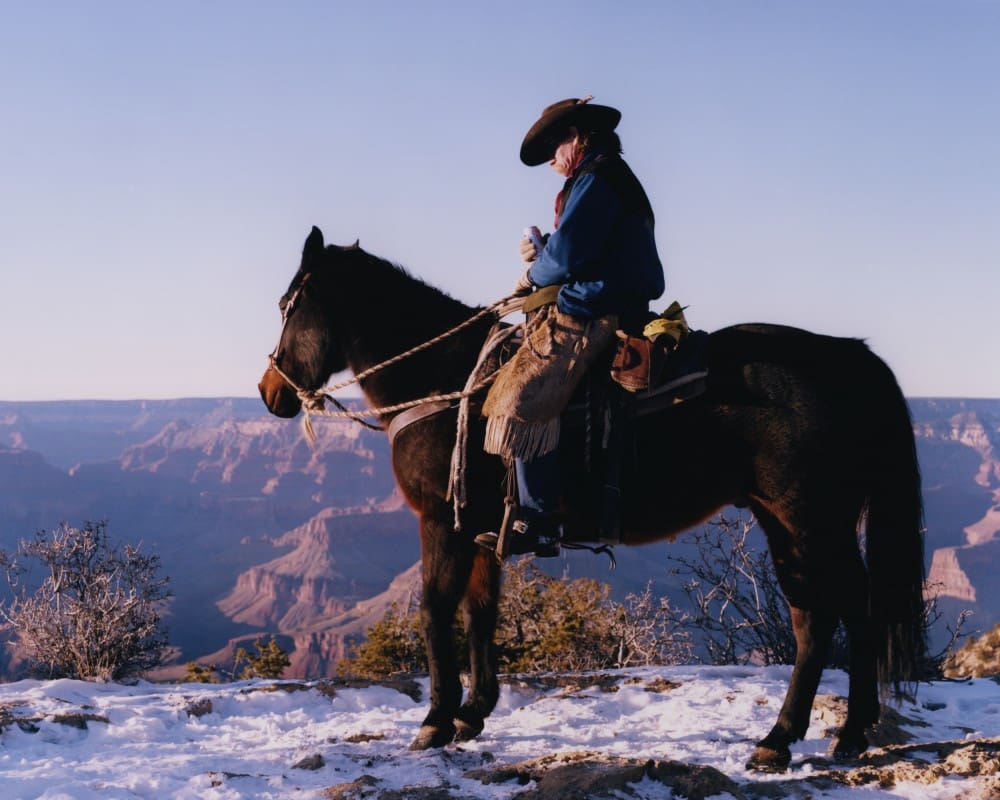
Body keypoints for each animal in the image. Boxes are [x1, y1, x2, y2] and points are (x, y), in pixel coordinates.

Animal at [260, 225, 928, 768]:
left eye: (288, 306)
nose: (271, 392)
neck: (447, 383)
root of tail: (848, 355)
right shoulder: (481, 530)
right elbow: (480, 613)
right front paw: (473, 713)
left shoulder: (443, 524)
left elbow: (433, 610)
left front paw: (434, 722)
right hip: (786, 520)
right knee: (830, 612)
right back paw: (841, 735)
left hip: (810, 520)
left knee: (830, 616)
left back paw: (787, 738)